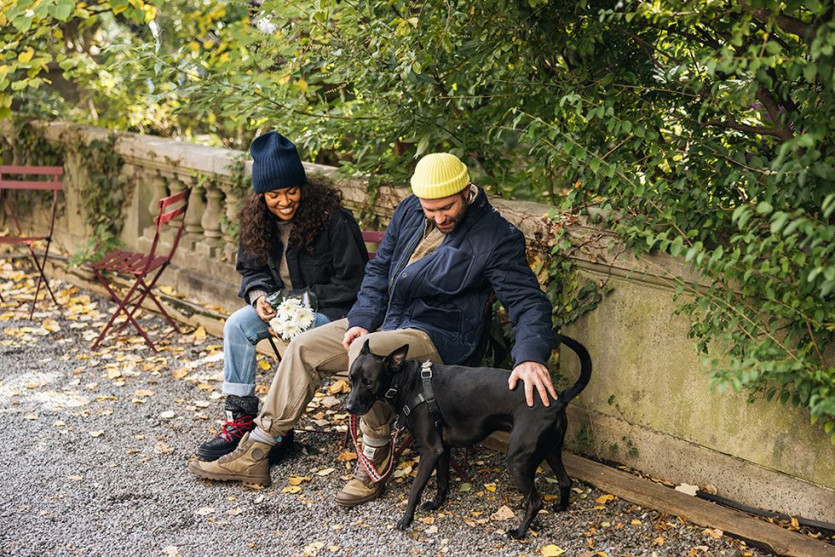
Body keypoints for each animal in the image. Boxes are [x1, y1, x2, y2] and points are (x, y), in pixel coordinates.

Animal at [342, 332, 592, 536]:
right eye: (351, 379)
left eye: (369, 382)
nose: (349, 407)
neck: (408, 383)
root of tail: (558, 398)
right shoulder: (442, 449)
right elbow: (442, 481)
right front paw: (437, 504)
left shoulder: (430, 450)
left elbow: (415, 490)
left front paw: (406, 519)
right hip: (551, 451)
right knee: (565, 481)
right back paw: (561, 506)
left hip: (519, 460)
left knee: (535, 502)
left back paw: (520, 532)